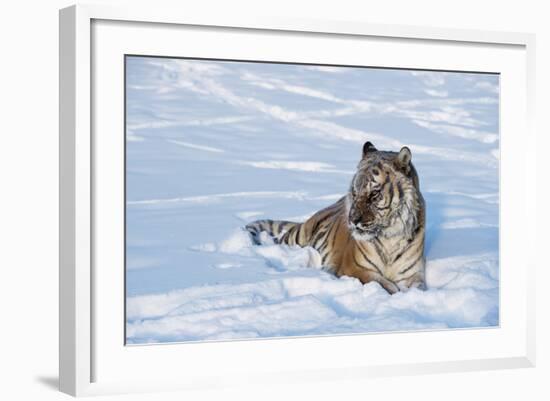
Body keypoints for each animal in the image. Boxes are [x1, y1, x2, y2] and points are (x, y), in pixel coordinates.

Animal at [245, 142, 426, 292]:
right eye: (354, 192)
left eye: (374, 194)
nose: (353, 220)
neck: (390, 237)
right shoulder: (355, 268)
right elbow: (387, 286)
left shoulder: (413, 275)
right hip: (298, 237)